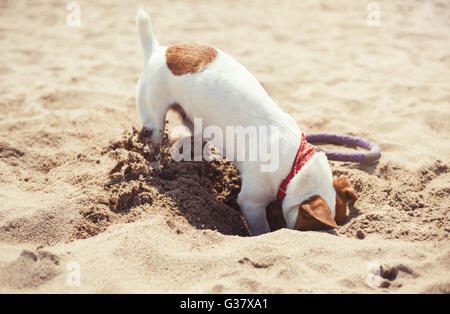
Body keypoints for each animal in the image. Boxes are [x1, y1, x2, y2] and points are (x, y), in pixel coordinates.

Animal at [135, 8, 356, 236]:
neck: (295, 165)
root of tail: (157, 51)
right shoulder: (251, 203)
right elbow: (261, 229)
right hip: (154, 123)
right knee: (153, 149)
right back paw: (157, 171)